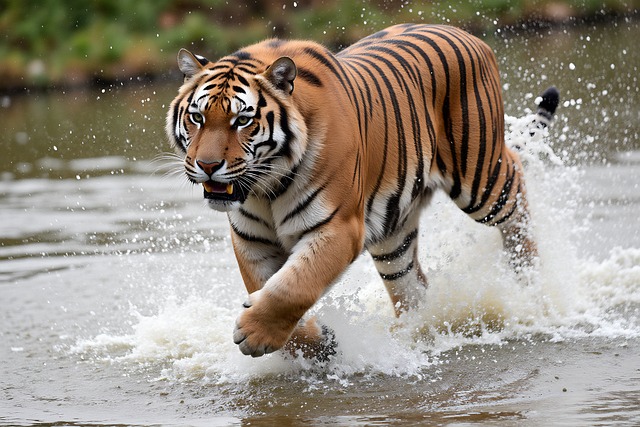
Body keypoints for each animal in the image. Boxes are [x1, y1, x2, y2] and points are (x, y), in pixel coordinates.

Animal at [165, 23, 559, 358]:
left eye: (242, 120)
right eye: (197, 117)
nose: (208, 165)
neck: (266, 186)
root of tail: (470, 35)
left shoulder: (339, 227)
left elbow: (294, 287)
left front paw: (254, 334)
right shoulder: (250, 237)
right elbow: (268, 287)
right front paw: (320, 344)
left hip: (479, 176)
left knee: (516, 191)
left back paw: (530, 284)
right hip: (394, 235)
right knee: (413, 286)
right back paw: (415, 335)